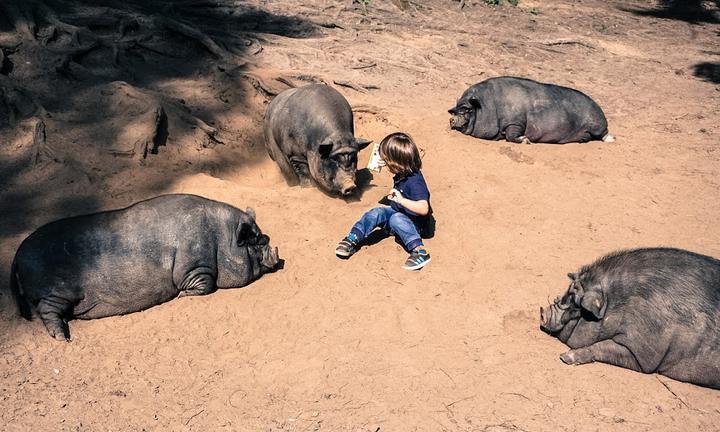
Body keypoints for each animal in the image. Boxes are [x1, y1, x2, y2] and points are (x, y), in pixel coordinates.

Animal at [11, 194, 282, 340]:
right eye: (257, 242)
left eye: (263, 237)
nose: (277, 254)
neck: (220, 238)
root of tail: (18, 253)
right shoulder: (194, 267)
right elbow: (206, 285)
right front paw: (182, 295)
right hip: (57, 290)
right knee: (47, 310)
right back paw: (63, 337)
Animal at [450, 77, 612, 144]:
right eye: (454, 110)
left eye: (466, 110)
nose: (451, 119)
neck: (491, 106)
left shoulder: (516, 122)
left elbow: (511, 135)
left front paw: (526, 140)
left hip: (595, 125)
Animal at [540, 248, 720, 390]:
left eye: (573, 300)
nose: (542, 313)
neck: (617, 306)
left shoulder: (643, 353)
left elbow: (602, 346)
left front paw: (565, 357)